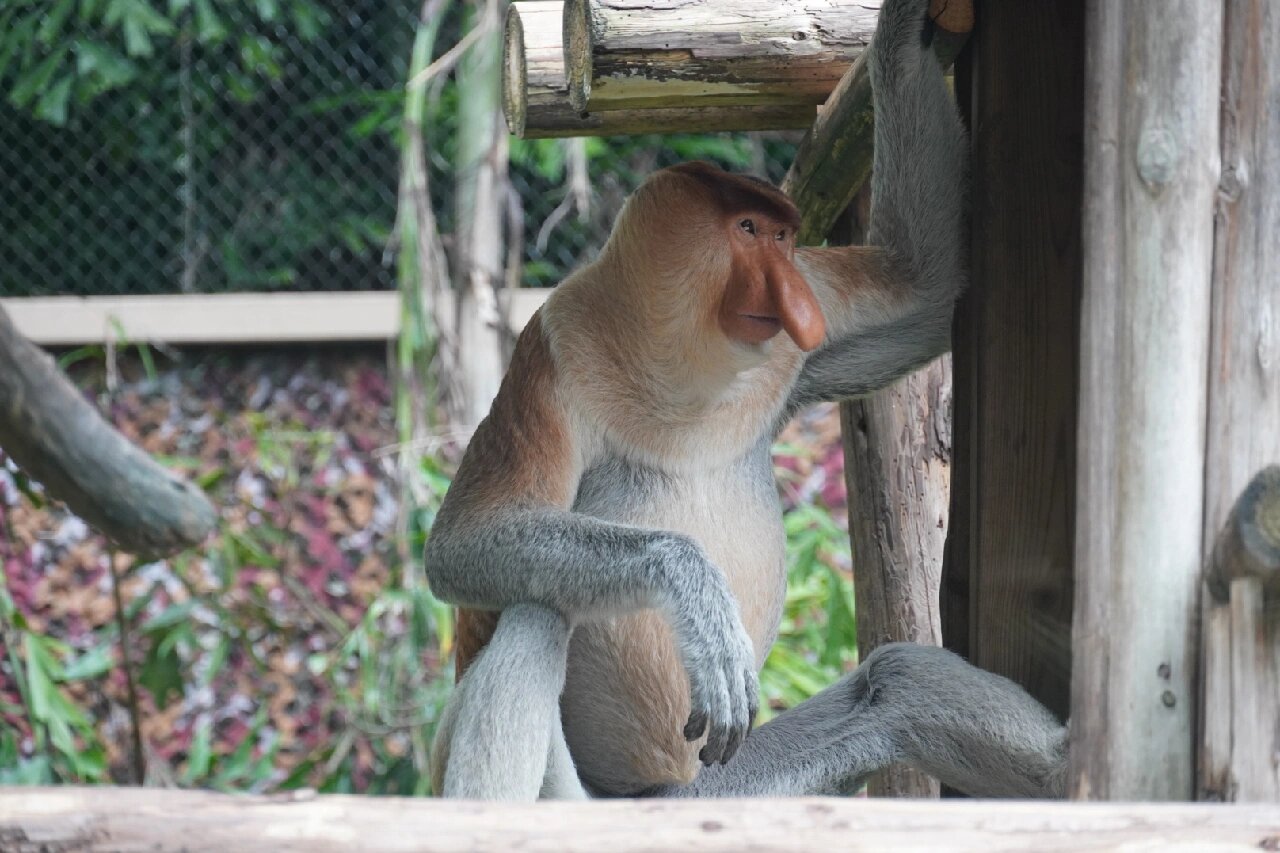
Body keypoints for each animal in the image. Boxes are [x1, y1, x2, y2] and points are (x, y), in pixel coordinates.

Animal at [424, 0, 1064, 799]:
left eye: (787, 239)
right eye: (748, 230)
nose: (792, 298)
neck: (683, 364)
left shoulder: (797, 337)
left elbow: (924, 291)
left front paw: (910, 23)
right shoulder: (550, 354)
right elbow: (463, 542)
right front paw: (692, 591)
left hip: (735, 785)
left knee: (894, 684)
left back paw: (1067, 763)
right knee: (535, 617)